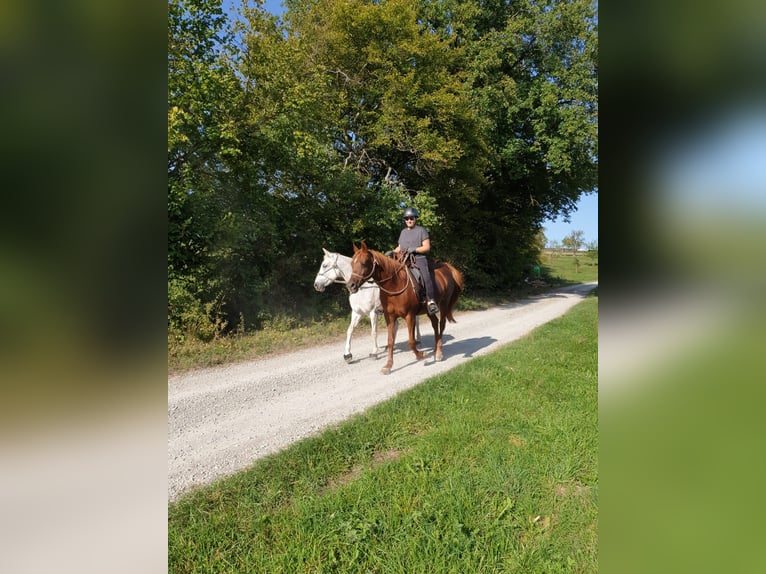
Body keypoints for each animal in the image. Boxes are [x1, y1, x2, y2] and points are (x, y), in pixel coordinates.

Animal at [350, 241, 468, 376]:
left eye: (364, 263)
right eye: (352, 263)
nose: (351, 285)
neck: (395, 284)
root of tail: (447, 268)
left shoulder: (409, 316)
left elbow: (411, 341)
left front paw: (421, 355)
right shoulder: (389, 317)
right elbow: (390, 341)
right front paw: (388, 366)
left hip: (443, 304)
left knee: (442, 324)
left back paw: (438, 352)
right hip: (429, 311)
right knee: (435, 323)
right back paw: (434, 349)